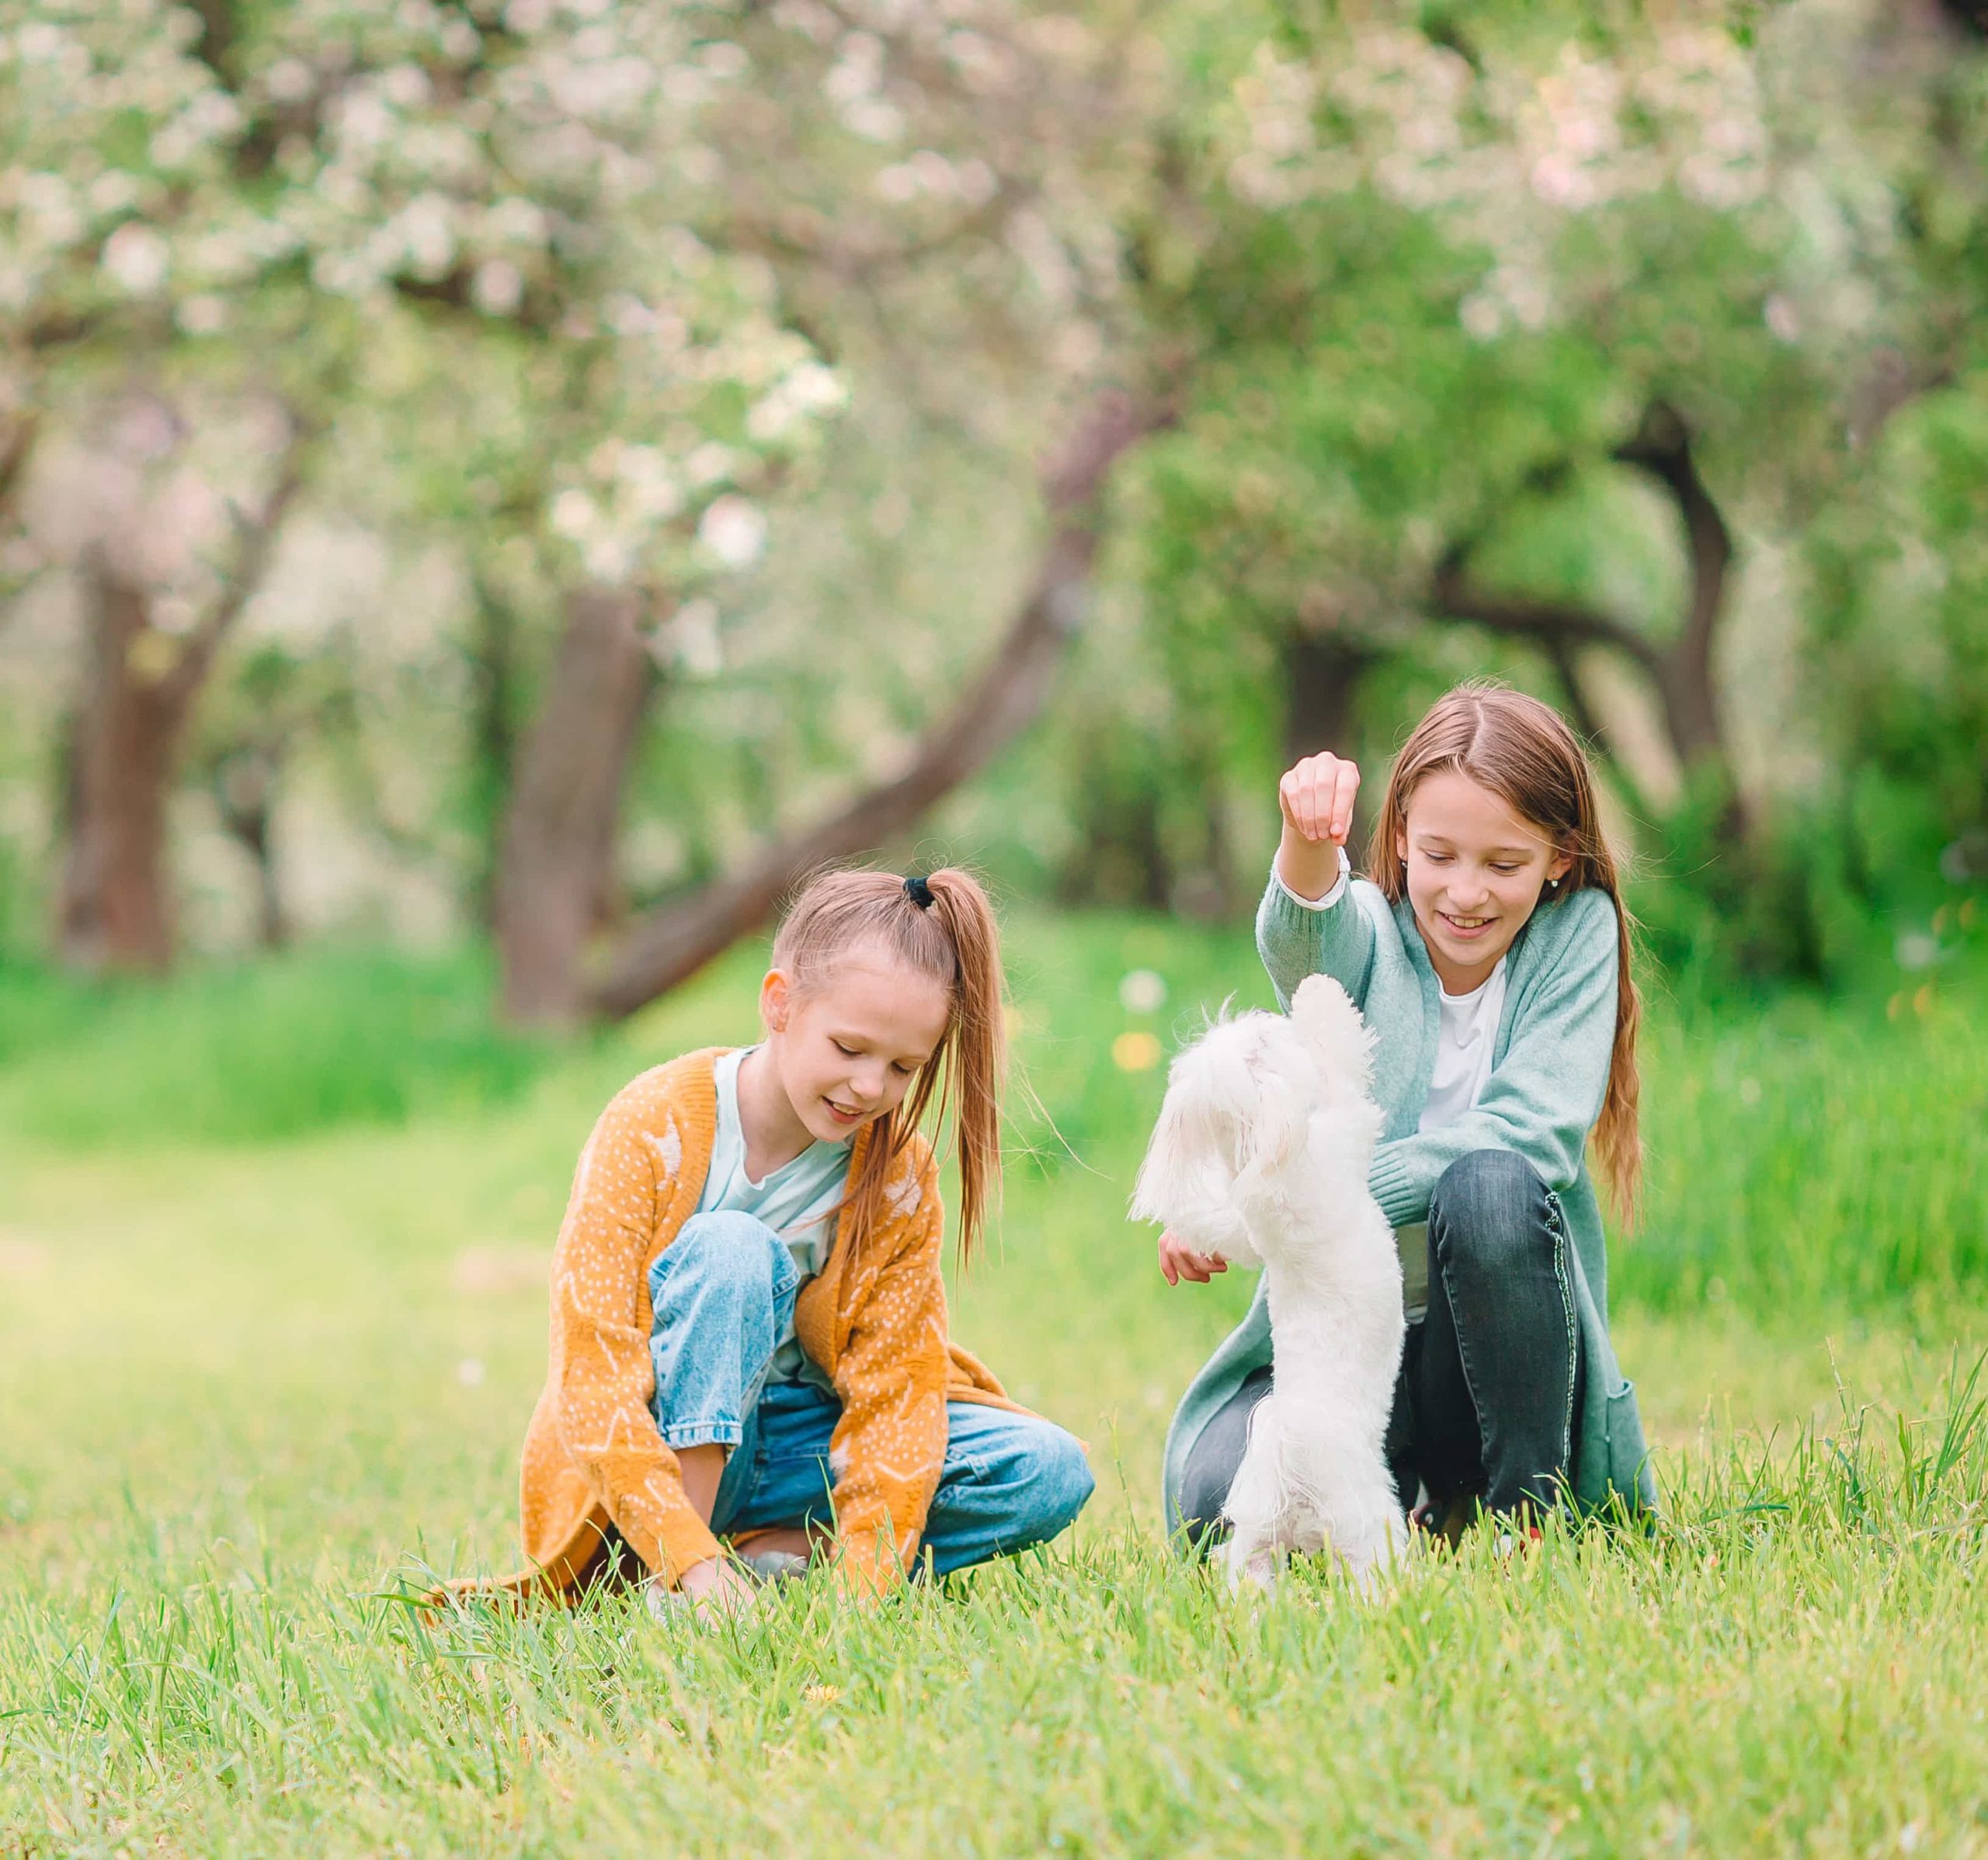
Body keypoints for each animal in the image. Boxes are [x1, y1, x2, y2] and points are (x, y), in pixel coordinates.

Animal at [1137, 973, 1415, 1598]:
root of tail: (1291, 1468)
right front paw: (1318, 995)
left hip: (1254, 1540)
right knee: (1372, 1564)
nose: (1270, 1020)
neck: (1267, 1153)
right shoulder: (1341, 1127)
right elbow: (1341, 1070)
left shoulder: (1248, 1219)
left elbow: (1223, 1226)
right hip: (1367, 1522)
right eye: (1263, 1042)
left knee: (1247, 1570)